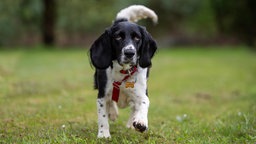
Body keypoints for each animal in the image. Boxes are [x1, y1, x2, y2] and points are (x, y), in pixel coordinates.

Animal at [90, 4, 158, 138]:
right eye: (118, 37)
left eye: (137, 37)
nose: (129, 53)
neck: (123, 72)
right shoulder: (102, 94)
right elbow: (102, 116)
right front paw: (103, 134)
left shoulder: (142, 92)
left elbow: (143, 103)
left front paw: (140, 121)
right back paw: (113, 112)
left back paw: (132, 122)